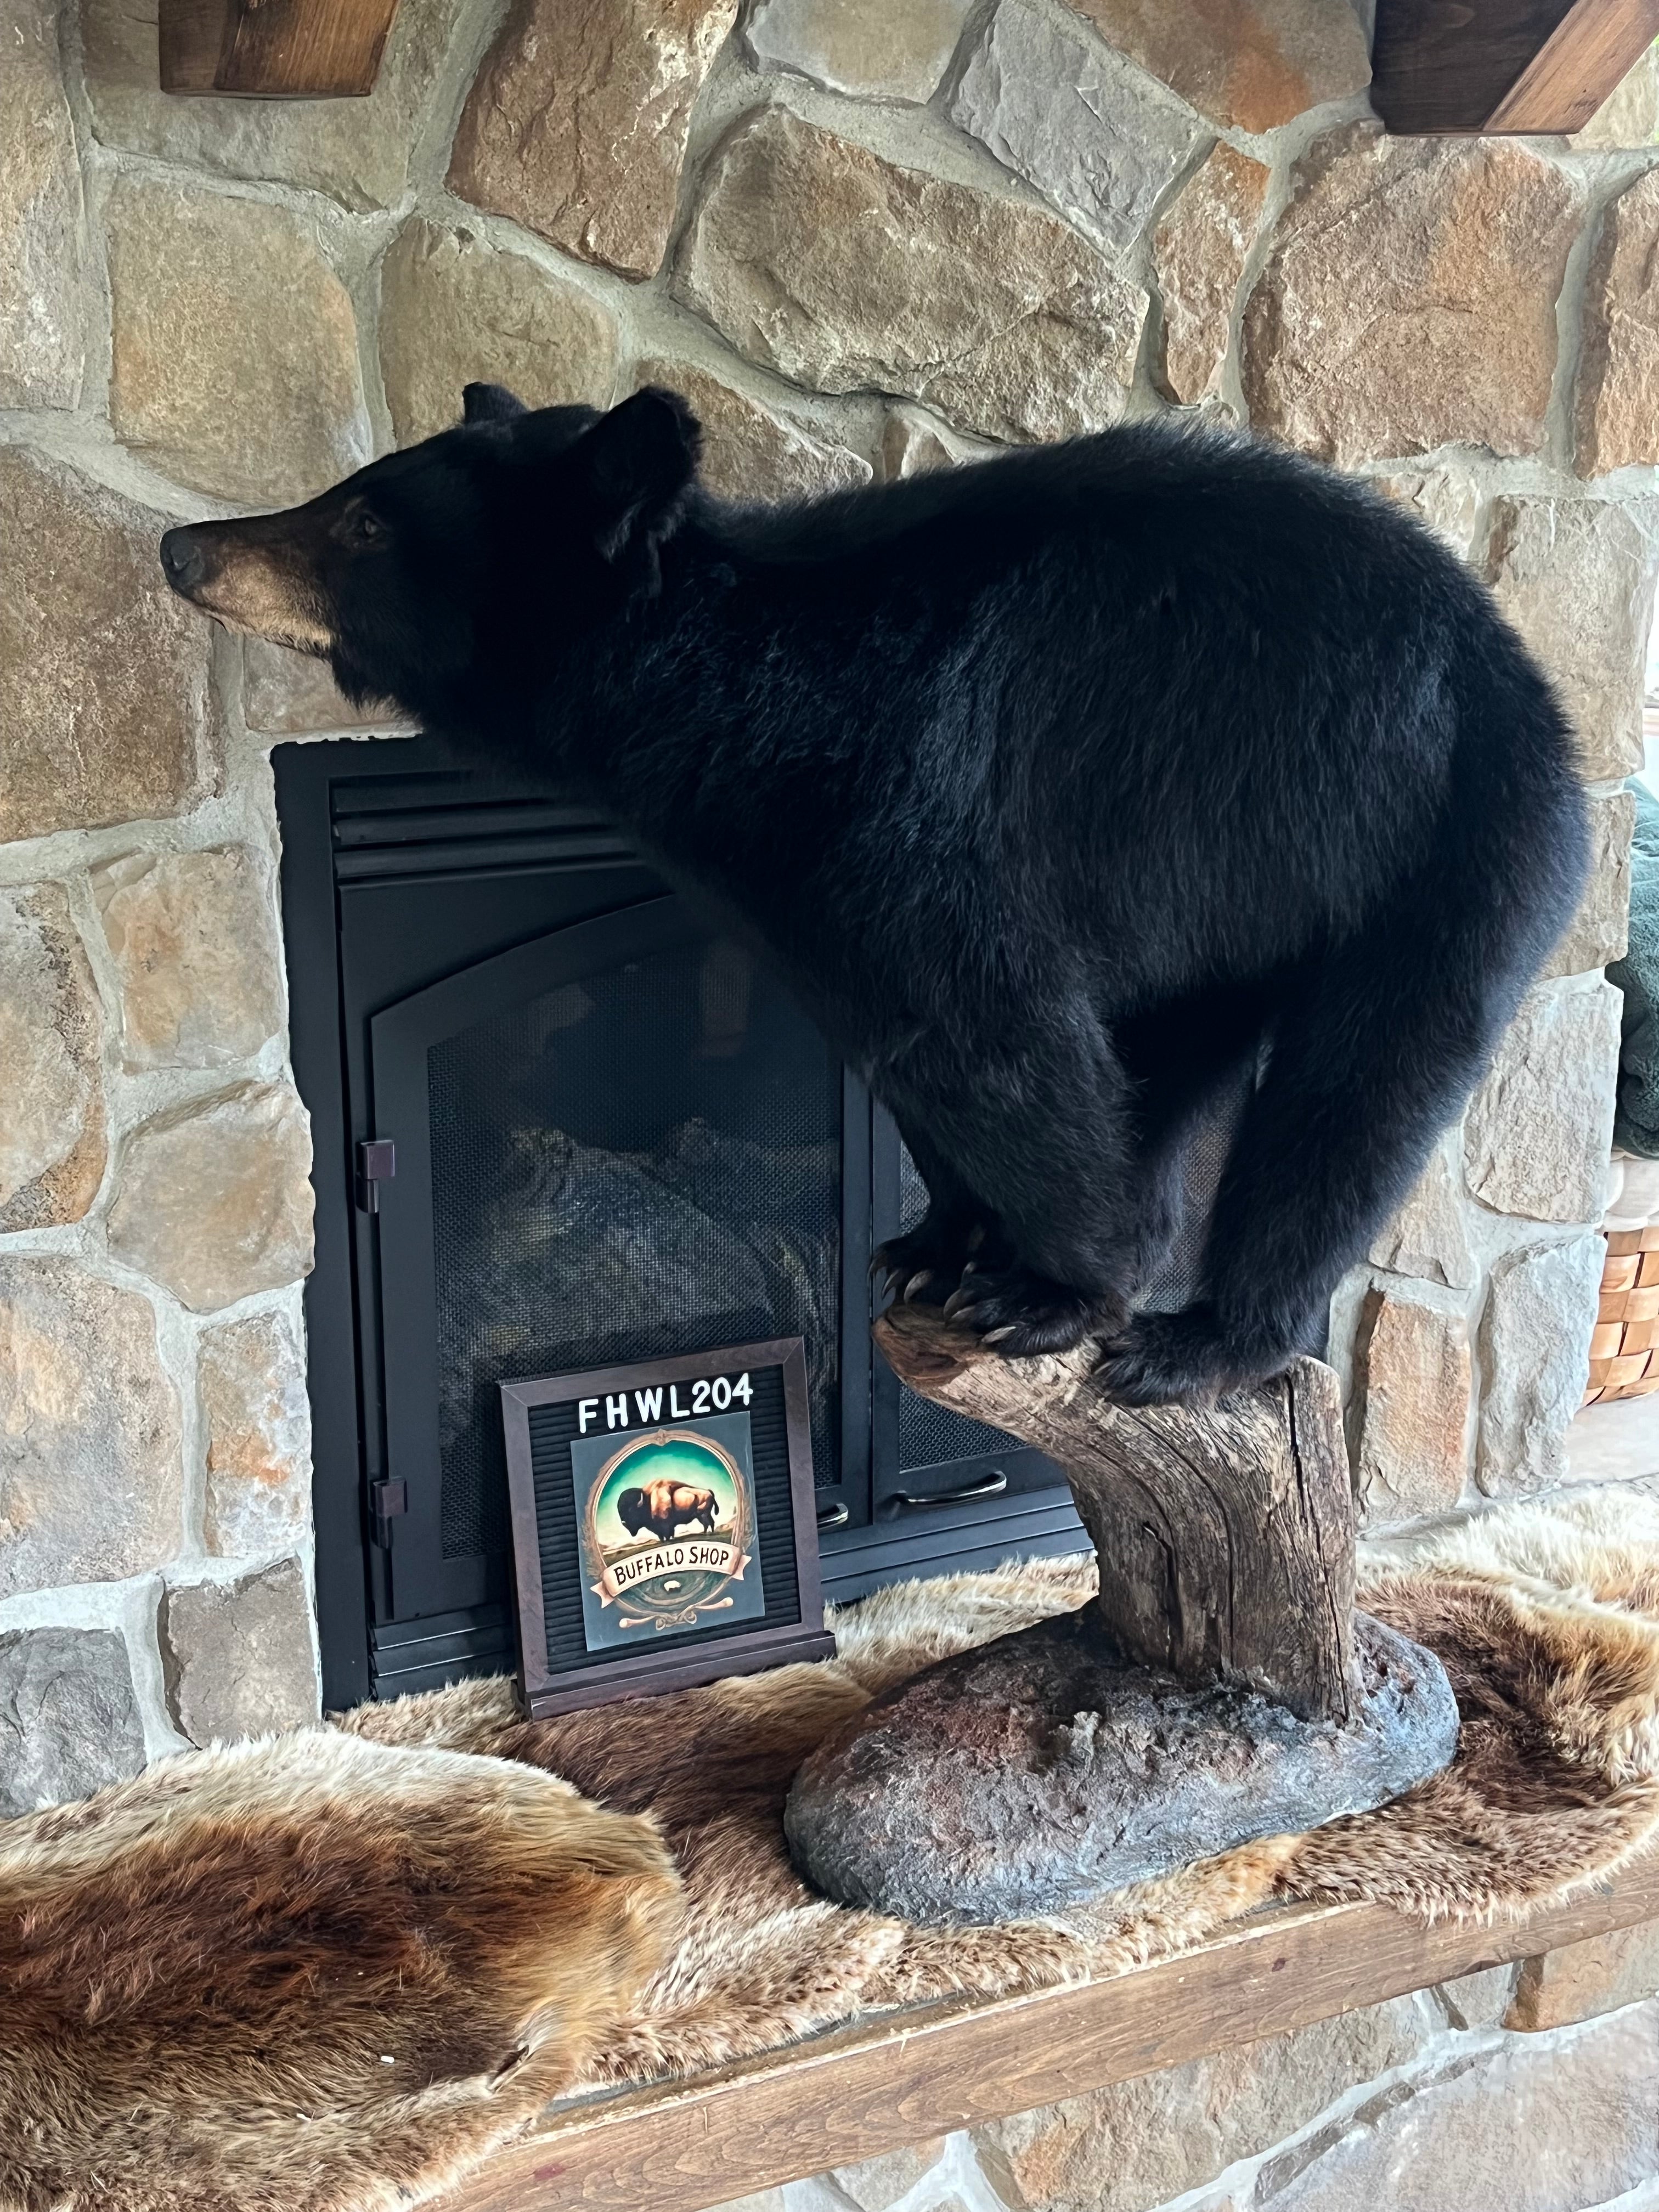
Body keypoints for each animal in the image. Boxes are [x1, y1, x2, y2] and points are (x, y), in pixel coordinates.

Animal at [158, 383, 1588, 1404]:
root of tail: (1534, 690)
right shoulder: (800, 892)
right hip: (1244, 910)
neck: (726, 714)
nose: (183, 547)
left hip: (1431, 851)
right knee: (1176, 1056)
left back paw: (1210, 1337)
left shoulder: (910, 809)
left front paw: (1048, 1290)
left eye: (361, 519)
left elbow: (993, 1035)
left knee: (1355, 1101)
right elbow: (905, 1053)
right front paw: (942, 1245)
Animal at [616, 1480, 720, 1544]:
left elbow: (667, 1534)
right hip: (702, 1515)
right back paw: (709, 1532)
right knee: (710, 1523)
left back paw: (706, 1533)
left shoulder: (666, 1525)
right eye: (620, 1512)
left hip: (703, 1514)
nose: (623, 1522)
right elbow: (665, 1535)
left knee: (707, 1523)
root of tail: (708, 1491)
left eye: (631, 1510)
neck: (648, 1500)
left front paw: (668, 1541)